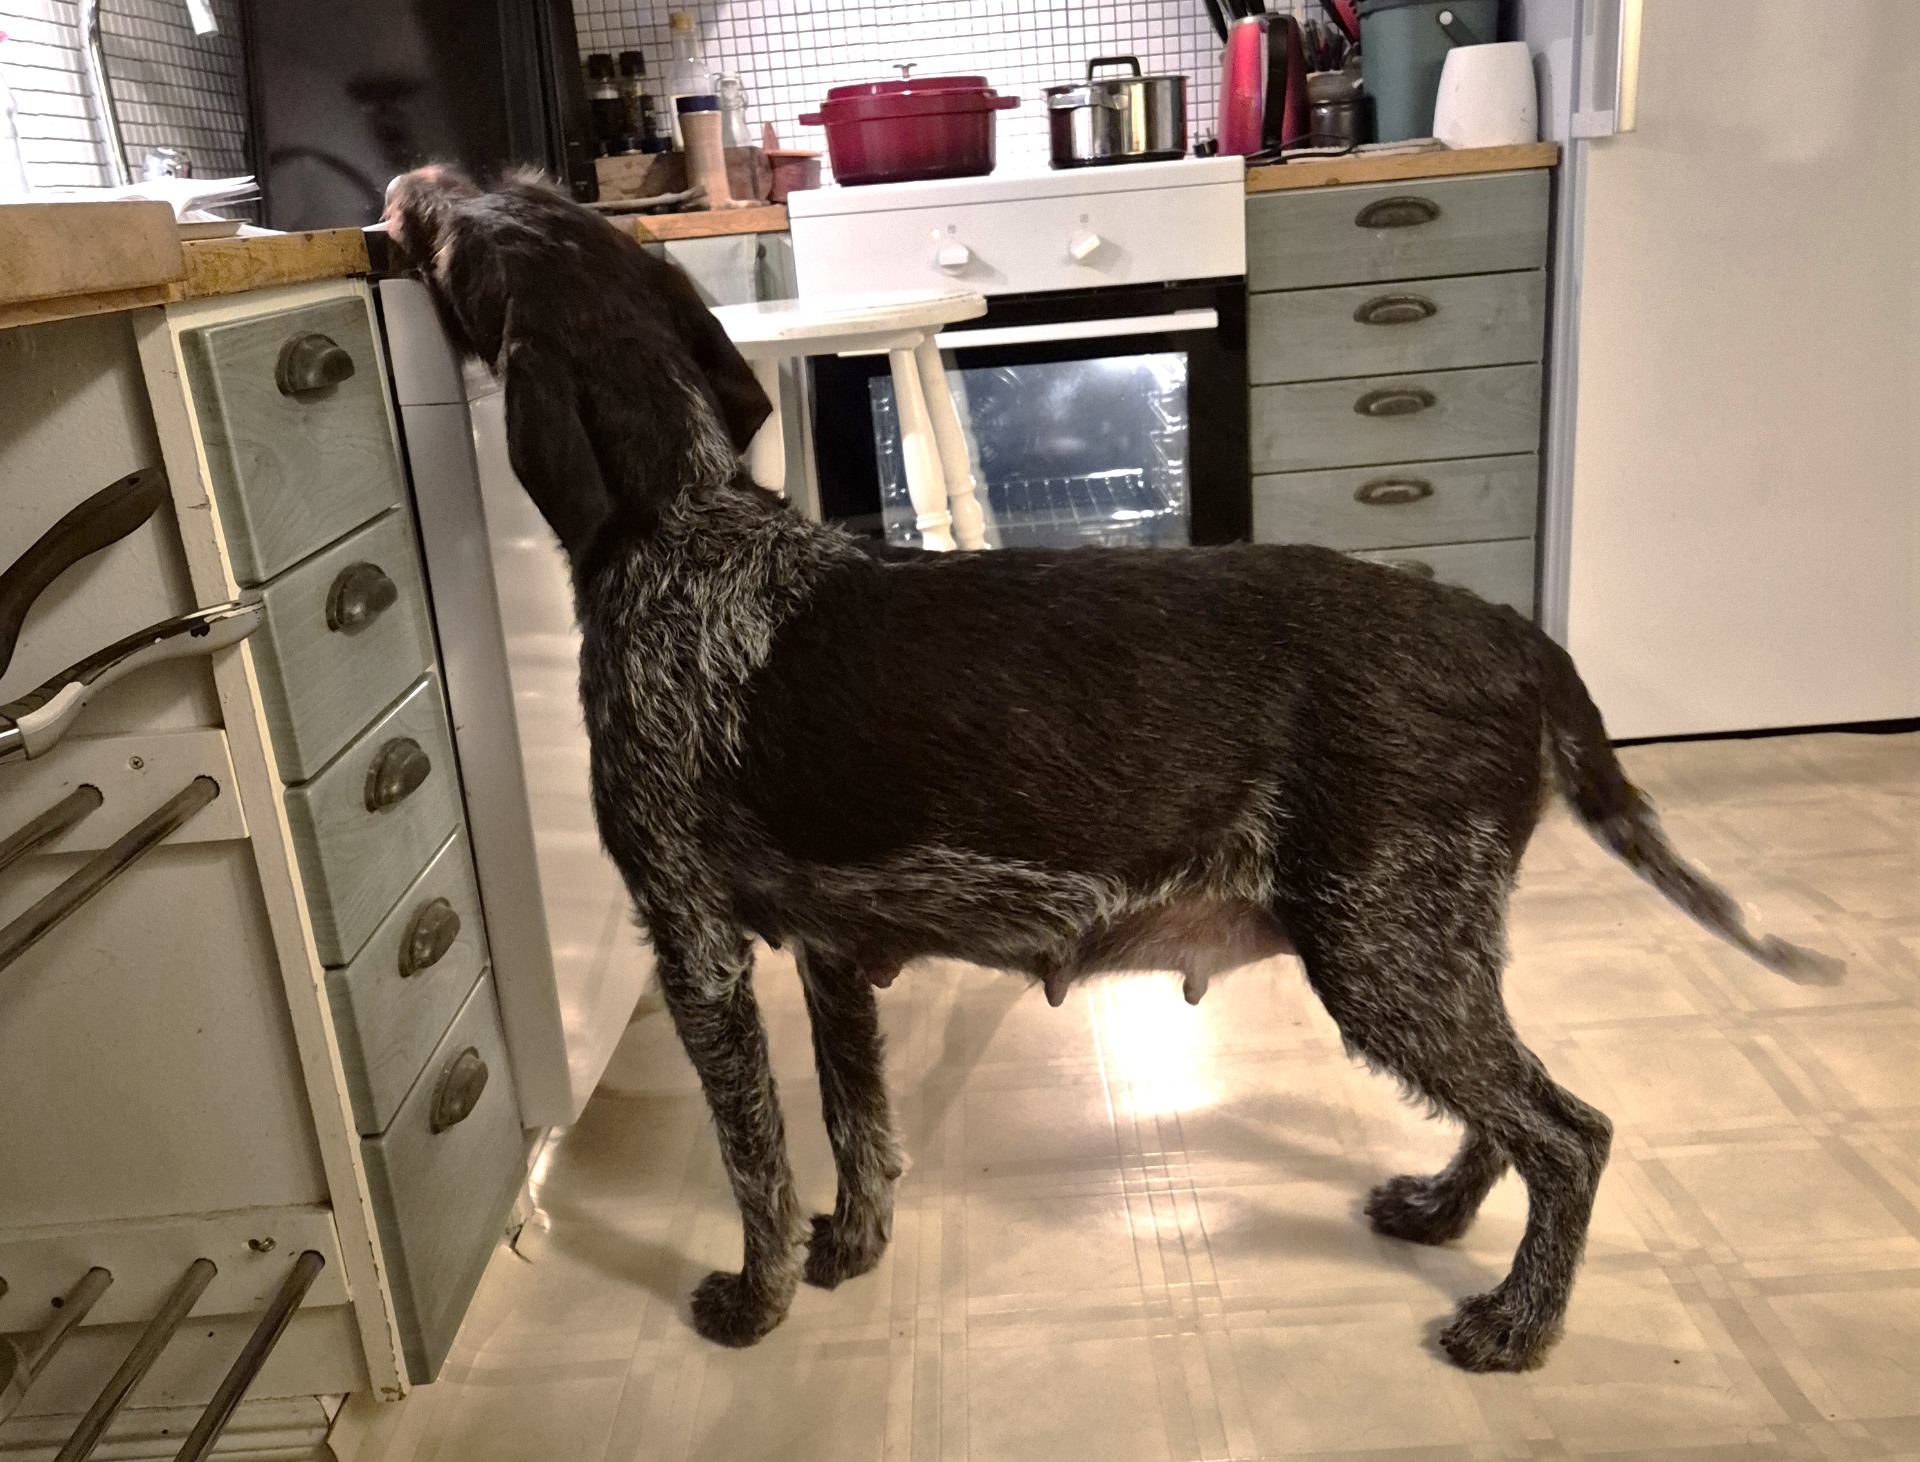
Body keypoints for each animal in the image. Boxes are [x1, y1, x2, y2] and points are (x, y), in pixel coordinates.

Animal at [386, 166, 1842, 1372]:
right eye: (518, 198)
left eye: (467, 233)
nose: (408, 187)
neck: (685, 524)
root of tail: (1516, 634)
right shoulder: (835, 952)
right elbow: (859, 1130)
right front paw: (852, 1248)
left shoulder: (695, 947)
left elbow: (755, 1161)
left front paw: (759, 1300)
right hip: (1434, 943)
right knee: (1512, 1109)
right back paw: (1441, 1208)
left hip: (1382, 950)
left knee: (1571, 1131)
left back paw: (1516, 1324)